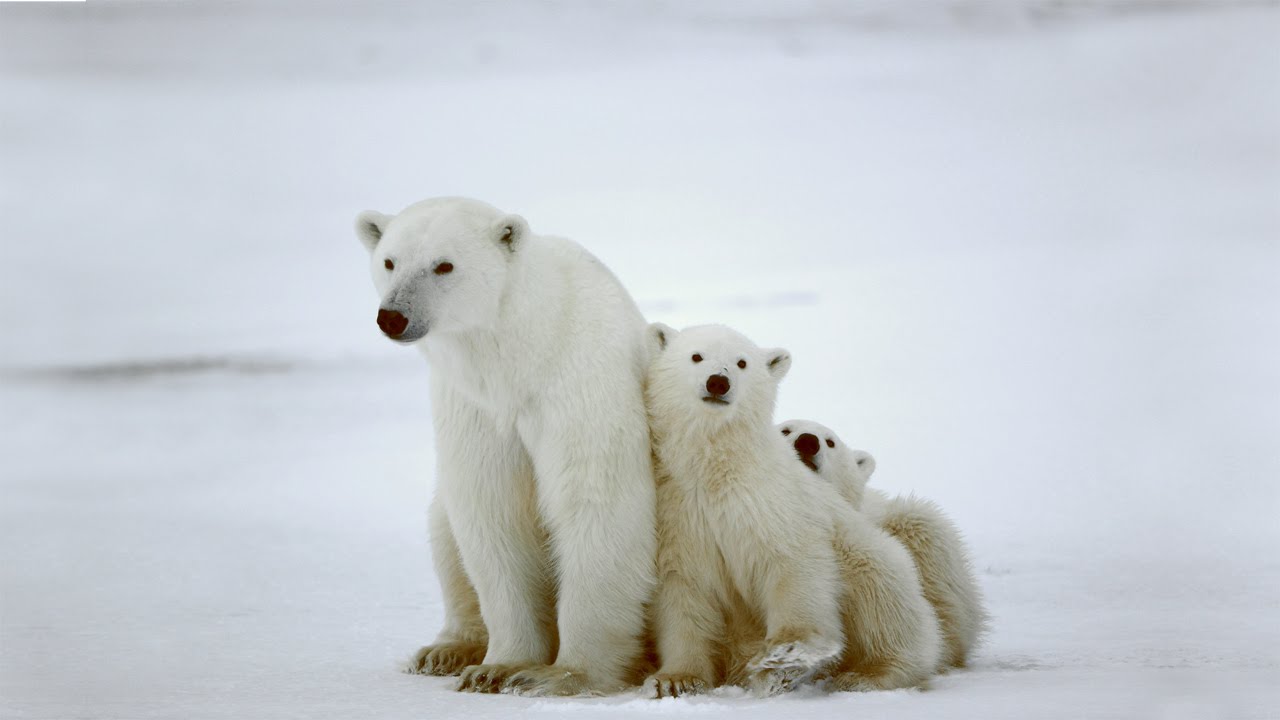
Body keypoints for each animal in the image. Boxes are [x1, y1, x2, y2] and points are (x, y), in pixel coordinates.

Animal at [355, 197, 657, 696]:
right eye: (389, 261)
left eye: (444, 265)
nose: (393, 317)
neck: (522, 354)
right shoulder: (475, 406)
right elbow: (492, 510)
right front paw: (497, 667)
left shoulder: (580, 382)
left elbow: (596, 501)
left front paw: (561, 675)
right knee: (444, 529)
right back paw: (446, 650)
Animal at [643, 323, 941, 697]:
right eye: (696, 356)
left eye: (742, 362)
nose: (718, 382)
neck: (717, 468)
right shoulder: (680, 512)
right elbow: (683, 589)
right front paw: (675, 679)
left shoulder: (774, 500)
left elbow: (793, 564)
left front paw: (784, 658)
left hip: (869, 554)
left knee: (882, 596)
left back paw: (868, 674)